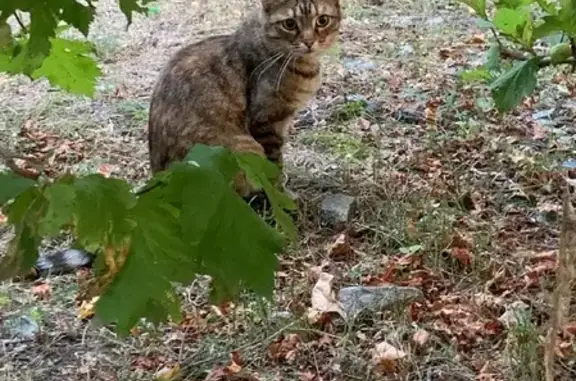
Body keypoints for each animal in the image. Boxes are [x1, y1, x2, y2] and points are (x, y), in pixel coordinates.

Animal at [148, 0, 342, 196]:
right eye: (289, 24)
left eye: (323, 20)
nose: (309, 42)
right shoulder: (265, 123)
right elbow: (274, 166)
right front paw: (282, 194)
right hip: (245, 147)